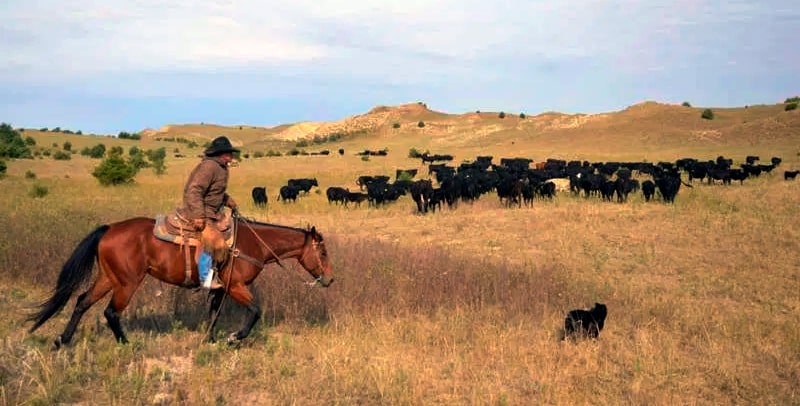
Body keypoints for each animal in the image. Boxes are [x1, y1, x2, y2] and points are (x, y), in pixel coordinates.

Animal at [27, 216, 334, 348]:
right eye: (322, 252)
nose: (330, 279)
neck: (251, 244)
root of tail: (109, 229)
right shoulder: (236, 287)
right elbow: (256, 310)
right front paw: (234, 338)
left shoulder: (222, 289)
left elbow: (214, 313)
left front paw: (210, 339)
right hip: (127, 283)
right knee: (111, 312)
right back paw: (126, 344)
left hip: (108, 277)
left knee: (82, 302)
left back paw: (62, 340)